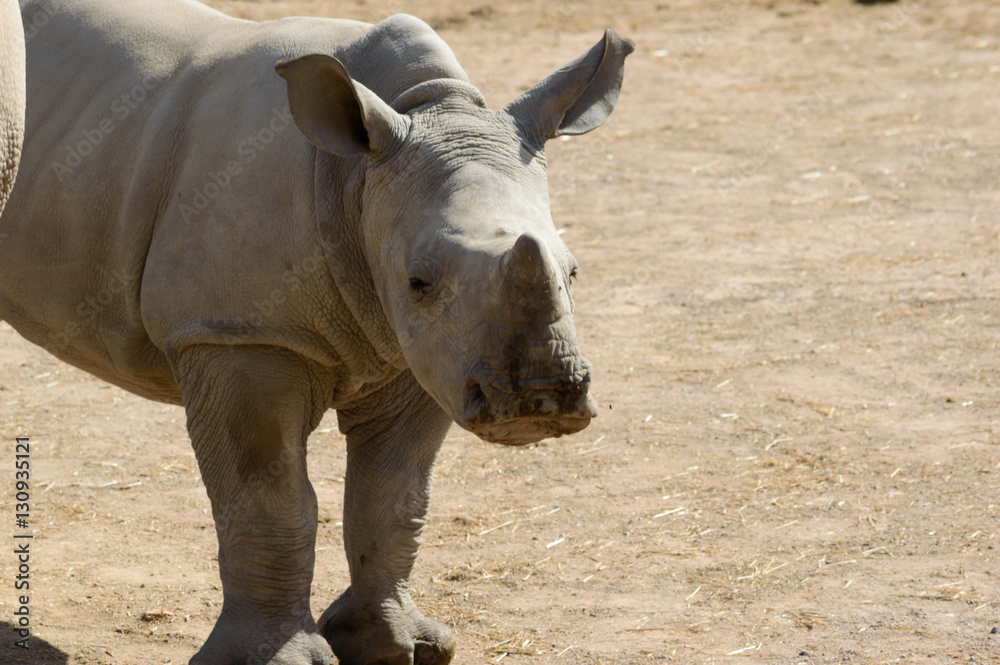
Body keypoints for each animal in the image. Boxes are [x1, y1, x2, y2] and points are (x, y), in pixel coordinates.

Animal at [1, 0, 632, 663]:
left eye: (574, 272)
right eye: (418, 282)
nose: (538, 400)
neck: (361, 172)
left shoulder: (422, 354)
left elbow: (392, 496)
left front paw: (399, 646)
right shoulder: (243, 333)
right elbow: (271, 501)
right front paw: (282, 659)